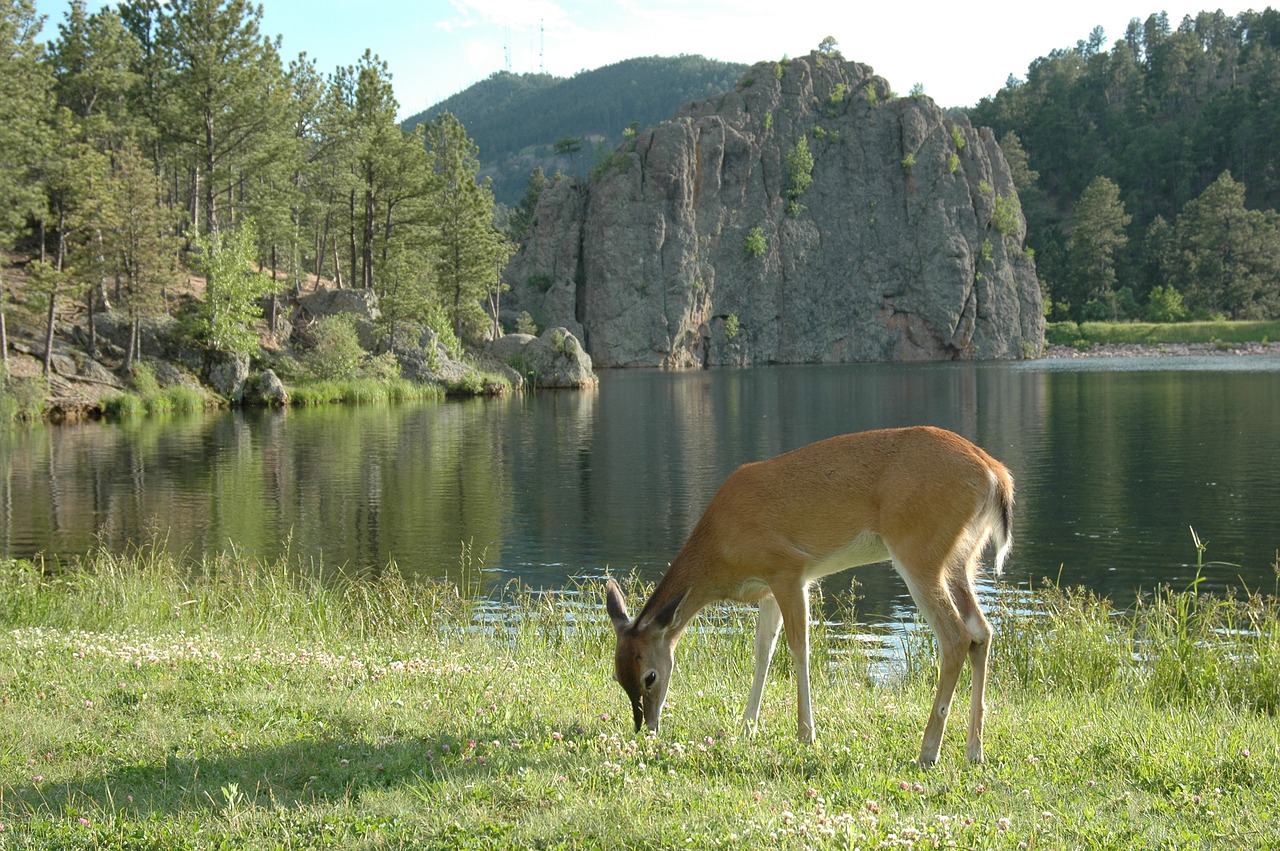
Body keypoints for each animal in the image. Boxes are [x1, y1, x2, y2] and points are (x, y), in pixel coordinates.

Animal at [604, 424, 1013, 762]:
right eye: (617, 675)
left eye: (649, 676)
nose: (645, 728)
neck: (720, 551)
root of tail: (995, 474)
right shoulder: (768, 589)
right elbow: (763, 651)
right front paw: (747, 727)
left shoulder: (789, 570)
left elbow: (799, 648)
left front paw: (805, 734)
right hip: (962, 559)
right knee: (981, 631)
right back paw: (974, 751)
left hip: (919, 552)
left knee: (955, 636)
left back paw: (928, 751)